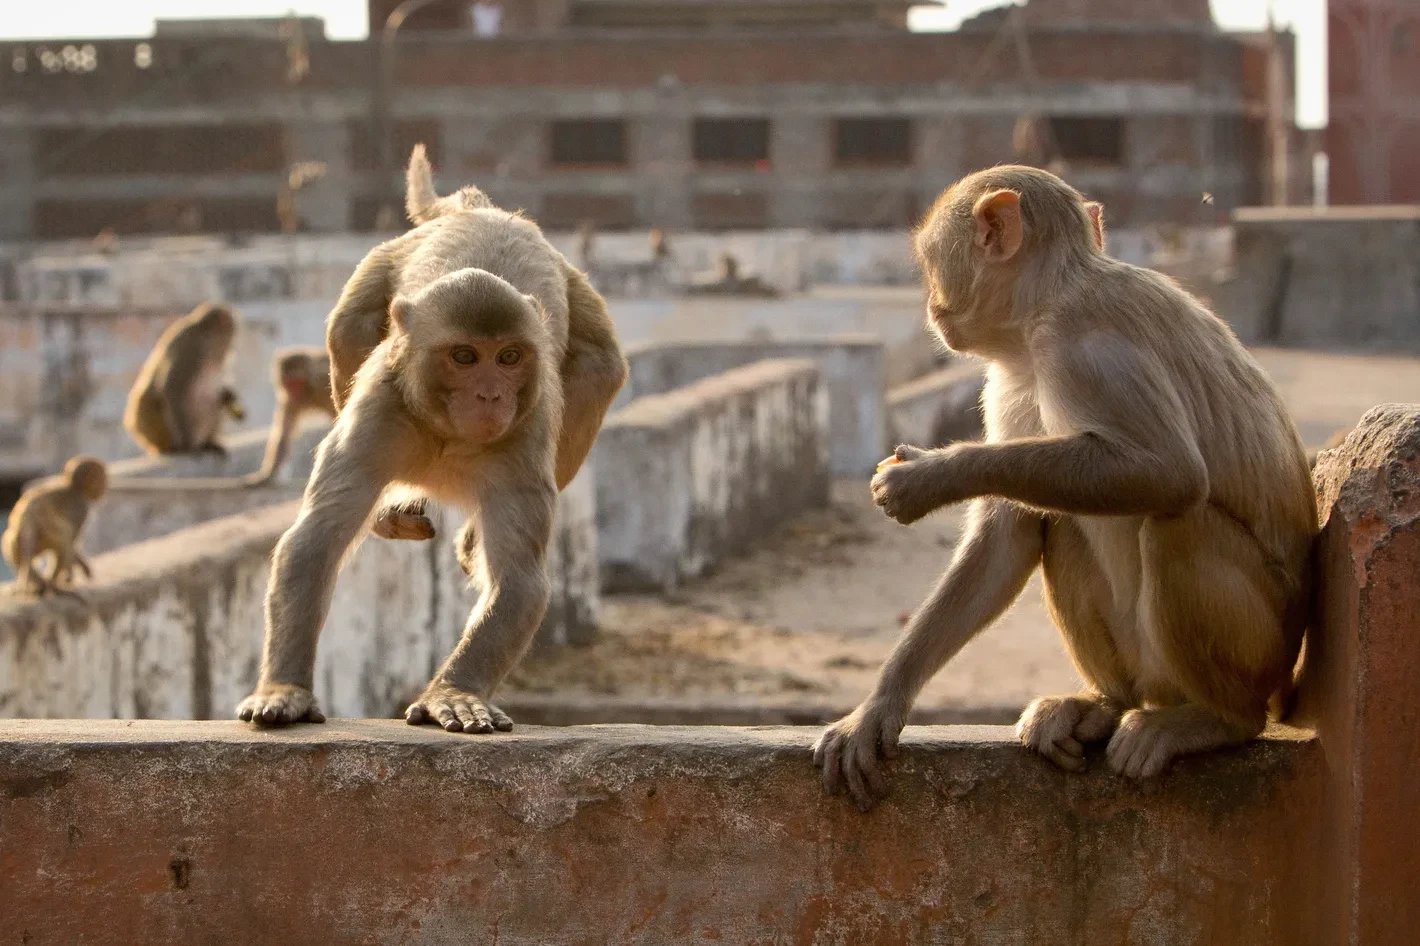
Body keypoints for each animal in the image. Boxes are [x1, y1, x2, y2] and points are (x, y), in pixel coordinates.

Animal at [3, 454, 107, 593]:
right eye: (102, 477)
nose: (105, 485)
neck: (73, 487)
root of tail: (27, 517)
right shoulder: (82, 509)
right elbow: (72, 541)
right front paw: (75, 571)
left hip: (24, 536)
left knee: (9, 541)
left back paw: (37, 581)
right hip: (47, 528)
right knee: (64, 534)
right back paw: (52, 581)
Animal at [124, 298, 247, 454]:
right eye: (234, 330)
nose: (233, 349)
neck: (204, 333)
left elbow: (220, 392)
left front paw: (229, 395)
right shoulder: (194, 349)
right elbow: (173, 388)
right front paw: (187, 444)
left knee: (215, 398)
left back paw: (208, 442)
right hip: (156, 431)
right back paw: (174, 447)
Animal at [238, 145, 627, 727]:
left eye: (509, 357)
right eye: (464, 356)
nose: (489, 396)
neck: (448, 434)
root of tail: (484, 210)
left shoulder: (525, 437)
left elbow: (519, 579)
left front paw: (455, 692)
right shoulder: (376, 415)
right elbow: (313, 542)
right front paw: (284, 689)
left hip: (576, 300)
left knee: (601, 369)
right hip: (379, 269)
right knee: (349, 325)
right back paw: (393, 512)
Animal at [817, 165, 1312, 806]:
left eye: (930, 260)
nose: (929, 305)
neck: (1044, 306)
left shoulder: (1086, 349)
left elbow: (1169, 471)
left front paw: (930, 475)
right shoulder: (1008, 378)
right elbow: (1007, 536)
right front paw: (880, 707)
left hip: (1258, 650)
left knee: (1177, 521)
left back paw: (1218, 720)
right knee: (1064, 520)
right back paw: (1105, 703)